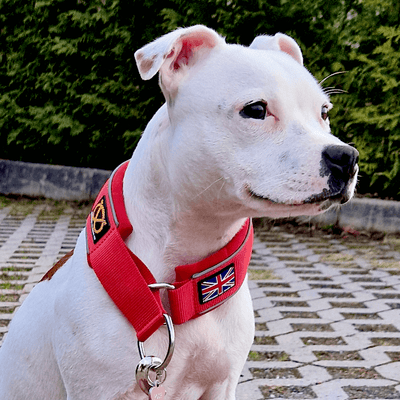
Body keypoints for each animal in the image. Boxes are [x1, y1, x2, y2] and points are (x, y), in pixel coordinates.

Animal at [0, 25, 356, 400]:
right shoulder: (98, 390)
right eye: (256, 109)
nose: (346, 157)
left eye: (324, 111)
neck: (177, 288)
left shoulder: (222, 384)